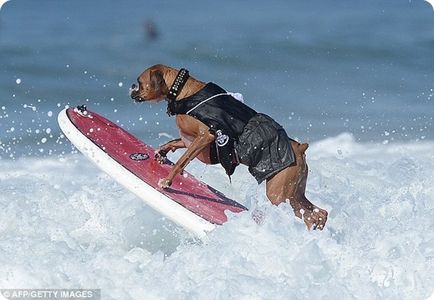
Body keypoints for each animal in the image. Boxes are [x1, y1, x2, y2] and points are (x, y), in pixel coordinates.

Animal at [131, 64, 328, 231]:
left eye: (139, 82)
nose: (131, 87)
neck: (183, 92)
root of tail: (300, 148)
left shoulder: (205, 136)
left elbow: (182, 160)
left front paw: (167, 181)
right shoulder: (192, 140)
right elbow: (174, 143)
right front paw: (162, 152)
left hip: (279, 195)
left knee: (309, 216)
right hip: (294, 193)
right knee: (319, 213)